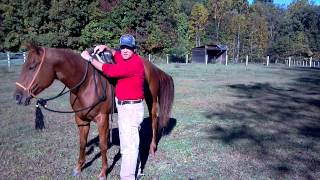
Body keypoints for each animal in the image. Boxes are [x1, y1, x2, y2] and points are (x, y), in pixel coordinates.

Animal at [13, 44, 174, 179]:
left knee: (154, 121)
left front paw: (103, 172)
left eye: (32, 66)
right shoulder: (81, 119)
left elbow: (103, 146)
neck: (85, 83)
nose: (18, 97)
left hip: (151, 100)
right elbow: (82, 143)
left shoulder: (102, 119)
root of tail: (151, 66)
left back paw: (152, 148)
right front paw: (78, 168)